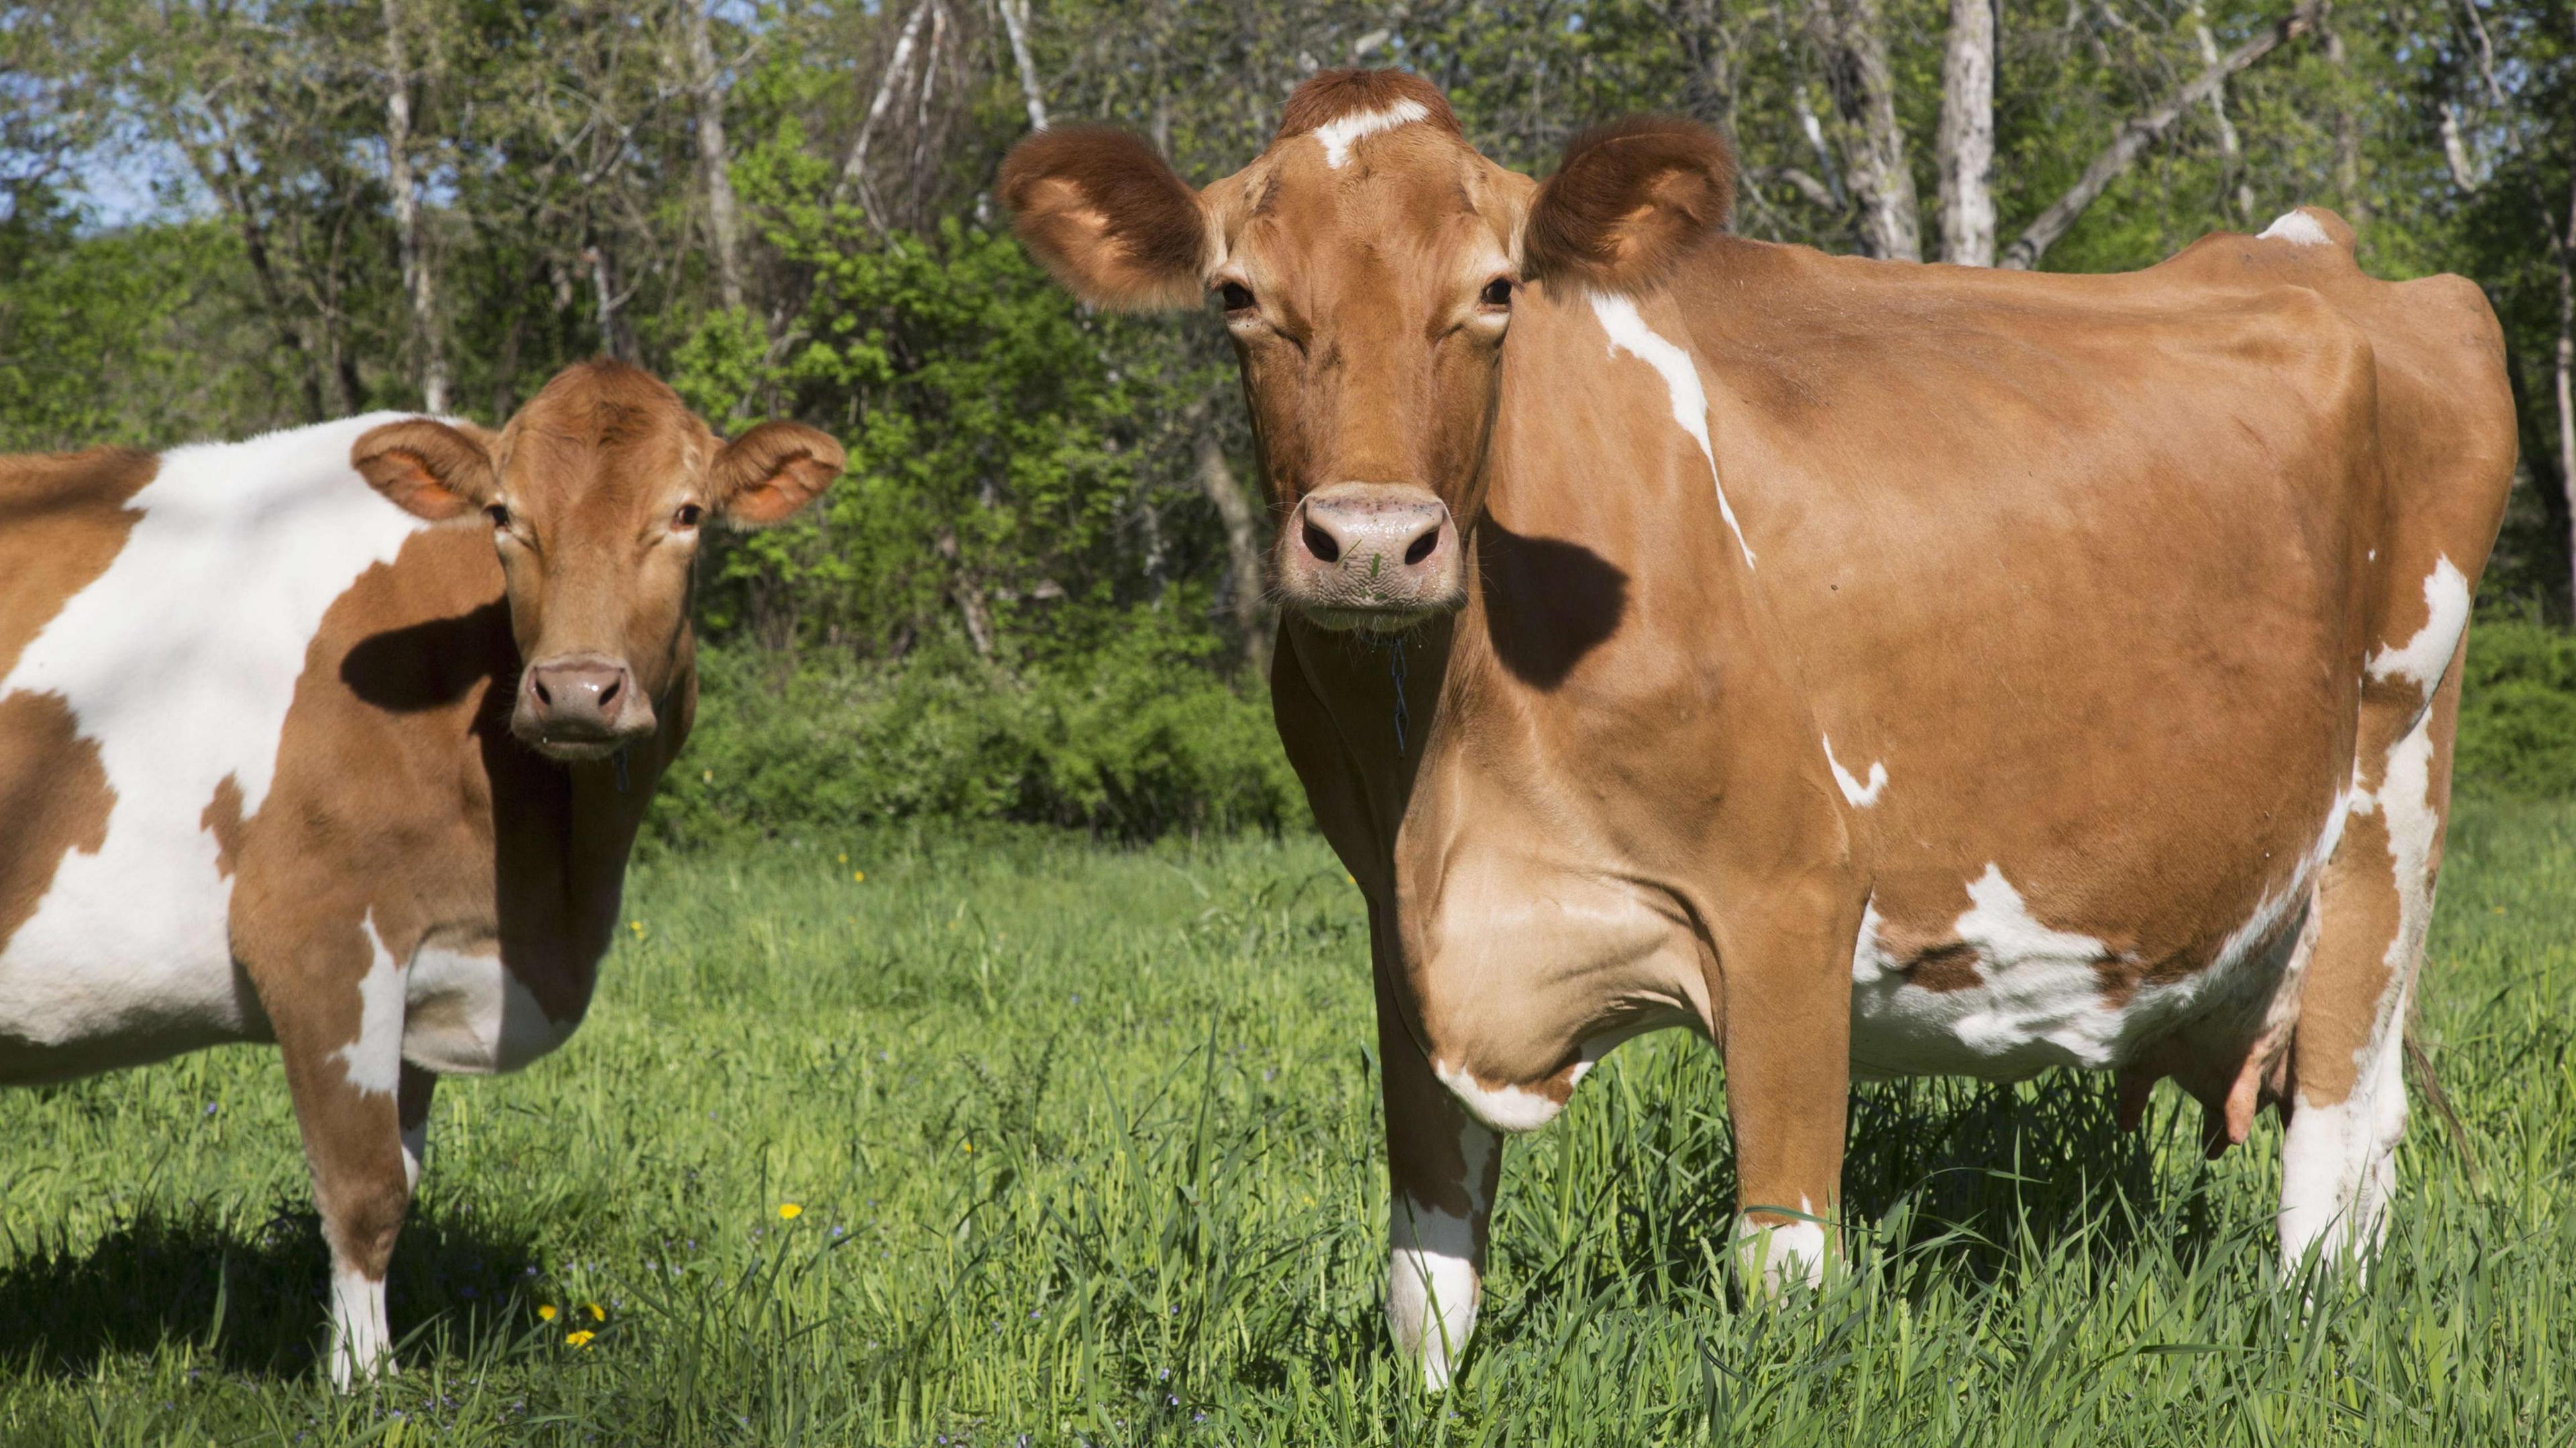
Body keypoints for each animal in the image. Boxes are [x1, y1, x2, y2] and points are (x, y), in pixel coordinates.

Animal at [0, 357, 845, 1370]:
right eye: (504, 515)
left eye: (686, 513)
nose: (576, 690)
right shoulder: (323, 937)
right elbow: (363, 1193)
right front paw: (366, 1382)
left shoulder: (427, 965)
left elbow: (398, 1180)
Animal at [1004, 73, 2514, 1381]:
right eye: (1236, 295)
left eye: (1495, 290)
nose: (1372, 541)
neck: (1455, 753)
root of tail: (2317, 251)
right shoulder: (1399, 925)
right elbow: (1423, 1277)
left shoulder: (1791, 895)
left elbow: (1780, 1265)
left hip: (2389, 800)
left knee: (2334, 1147)